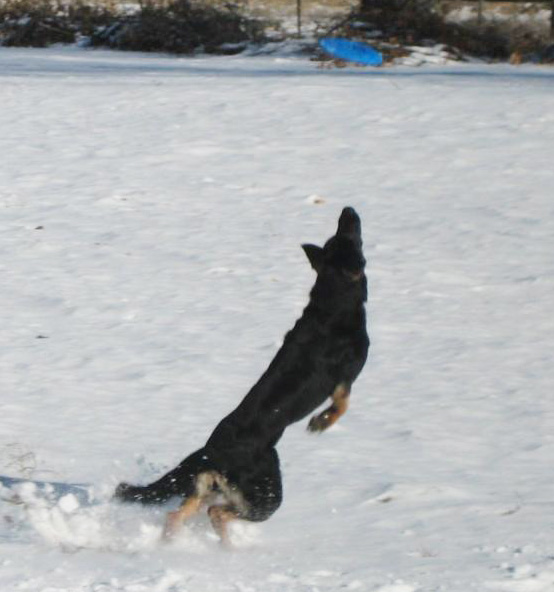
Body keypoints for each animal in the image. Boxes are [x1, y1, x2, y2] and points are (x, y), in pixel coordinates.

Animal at [113, 208, 366, 544]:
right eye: (350, 237)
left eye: (340, 234)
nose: (349, 210)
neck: (335, 300)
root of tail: (211, 450)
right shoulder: (345, 379)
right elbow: (341, 406)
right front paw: (319, 423)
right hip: (265, 492)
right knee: (217, 513)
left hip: (208, 485)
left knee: (177, 514)